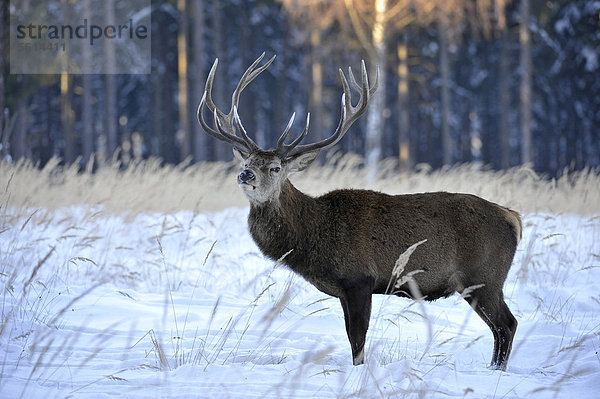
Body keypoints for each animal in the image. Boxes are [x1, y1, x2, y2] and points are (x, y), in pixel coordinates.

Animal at [197, 53, 520, 372]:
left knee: (507, 324)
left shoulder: (359, 279)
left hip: (485, 277)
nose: (245, 175)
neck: (314, 237)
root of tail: (513, 218)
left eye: (275, 168)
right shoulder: (343, 290)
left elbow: (357, 339)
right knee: (501, 327)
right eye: (247, 161)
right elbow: (350, 335)